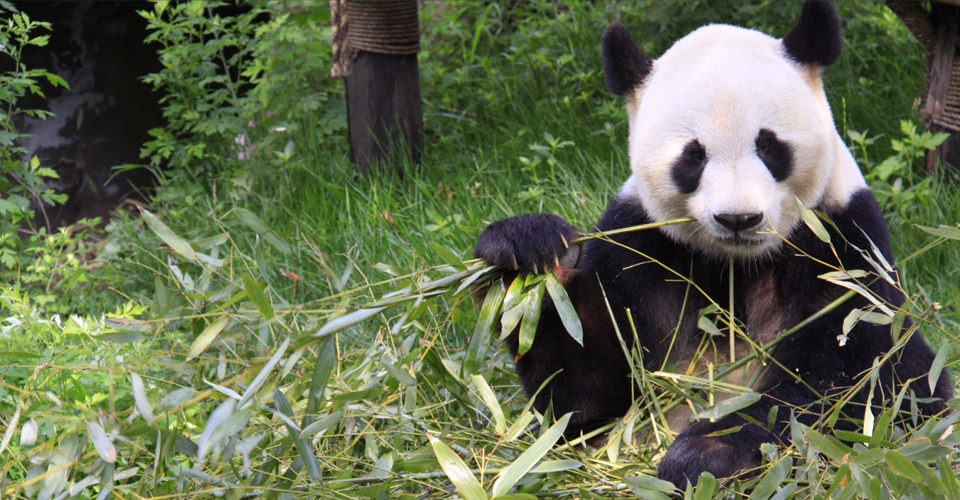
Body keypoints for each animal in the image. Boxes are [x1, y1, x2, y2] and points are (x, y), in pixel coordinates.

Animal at [472, 0, 952, 486]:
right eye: (693, 156)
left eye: (769, 146)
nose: (739, 218)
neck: (734, 264)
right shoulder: (642, 247)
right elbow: (588, 396)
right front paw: (528, 254)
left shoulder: (839, 241)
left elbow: (843, 373)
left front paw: (707, 453)